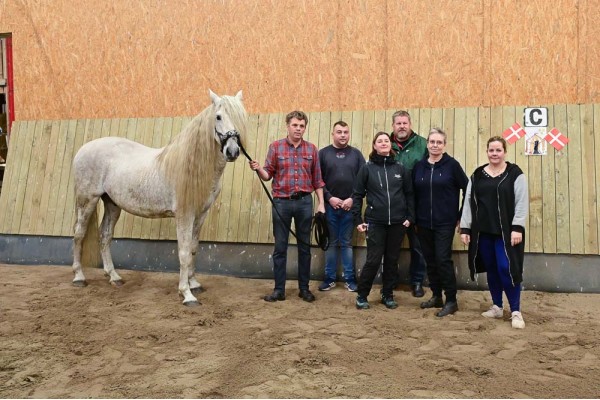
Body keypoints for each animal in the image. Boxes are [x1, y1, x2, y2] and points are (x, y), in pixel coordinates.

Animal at [71, 89, 248, 304]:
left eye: (241, 118)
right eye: (218, 116)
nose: (232, 151)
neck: (192, 166)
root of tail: (83, 148)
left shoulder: (200, 214)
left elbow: (193, 248)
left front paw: (194, 284)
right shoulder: (184, 215)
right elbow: (183, 252)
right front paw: (186, 293)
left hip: (112, 203)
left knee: (105, 235)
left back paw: (114, 277)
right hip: (87, 199)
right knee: (79, 233)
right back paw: (79, 277)